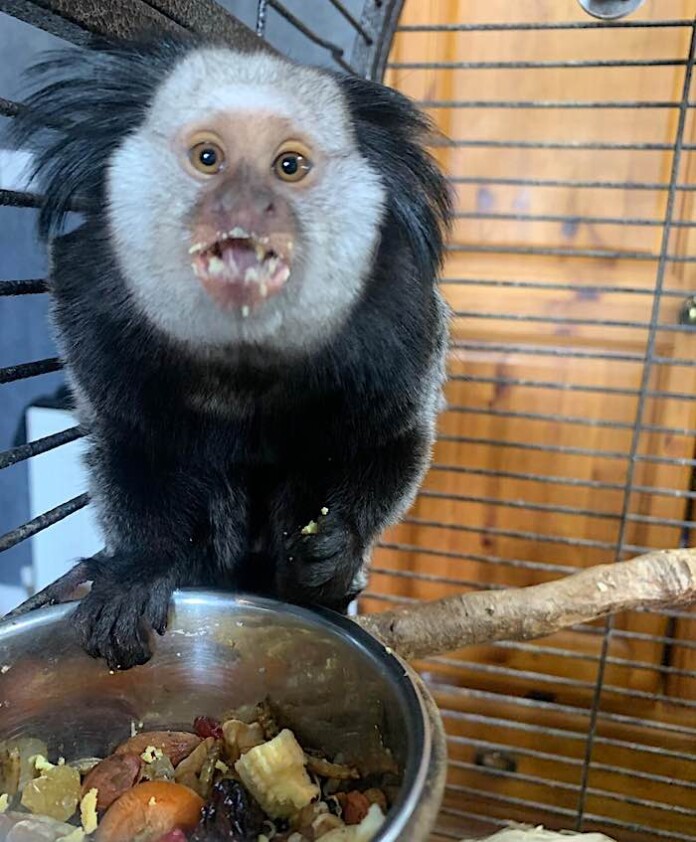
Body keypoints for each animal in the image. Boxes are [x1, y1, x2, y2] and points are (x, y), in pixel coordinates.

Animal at [7, 34, 452, 671]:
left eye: (289, 166)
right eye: (207, 158)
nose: (246, 206)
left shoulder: (400, 323)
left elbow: (395, 438)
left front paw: (338, 546)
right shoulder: (91, 307)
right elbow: (131, 445)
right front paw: (140, 570)